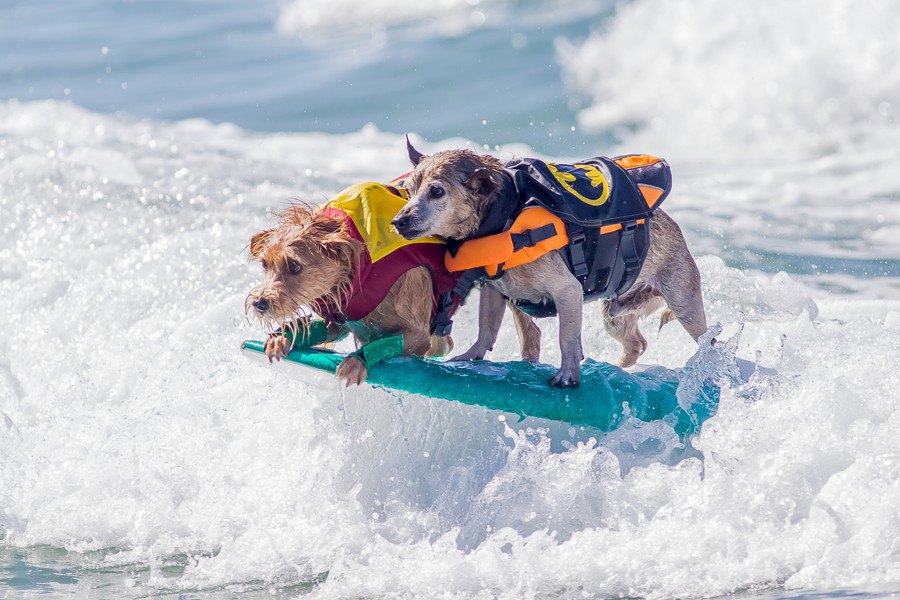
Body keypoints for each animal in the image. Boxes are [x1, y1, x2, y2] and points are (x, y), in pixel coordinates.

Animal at [248, 204, 450, 386]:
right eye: (264, 264)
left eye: (294, 266)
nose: (259, 303)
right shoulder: (340, 319)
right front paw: (282, 337)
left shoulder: (421, 336)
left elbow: (394, 341)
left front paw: (356, 361)